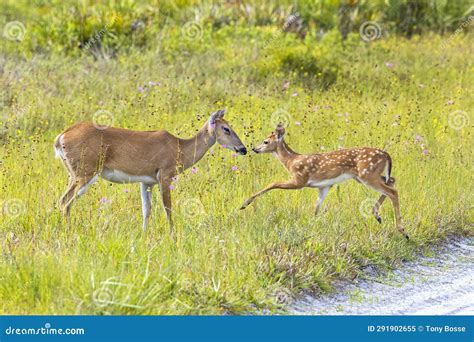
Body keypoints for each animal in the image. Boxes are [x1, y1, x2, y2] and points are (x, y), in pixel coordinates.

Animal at [54, 109, 248, 230]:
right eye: (226, 128)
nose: (243, 149)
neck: (180, 148)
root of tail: (61, 137)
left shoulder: (147, 182)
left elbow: (146, 210)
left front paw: (144, 235)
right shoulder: (165, 176)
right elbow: (167, 208)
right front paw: (173, 236)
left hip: (74, 173)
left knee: (63, 201)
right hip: (85, 173)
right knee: (65, 201)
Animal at [241, 124, 408, 239]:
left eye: (266, 141)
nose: (255, 149)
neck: (291, 161)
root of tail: (386, 154)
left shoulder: (300, 180)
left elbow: (273, 183)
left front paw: (245, 203)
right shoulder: (324, 186)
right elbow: (316, 208)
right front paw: (312, 226)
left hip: (367, 175)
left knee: (393, 191)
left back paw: (402, 231)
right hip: (368, 175)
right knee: (392, 180)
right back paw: (377, 215)